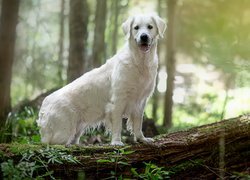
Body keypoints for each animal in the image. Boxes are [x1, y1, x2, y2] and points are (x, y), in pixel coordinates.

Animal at [37, 13, 166, 146]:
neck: (140, 62)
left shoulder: (140, 101)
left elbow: (138, 124)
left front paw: (142, 139)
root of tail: (43, 108)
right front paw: (116, 142)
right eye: (136, 27)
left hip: (79, 127)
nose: (144, 37)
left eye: (150, 27)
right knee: (51, 142)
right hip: (64, 129)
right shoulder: (118, 101)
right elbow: (118, 125)